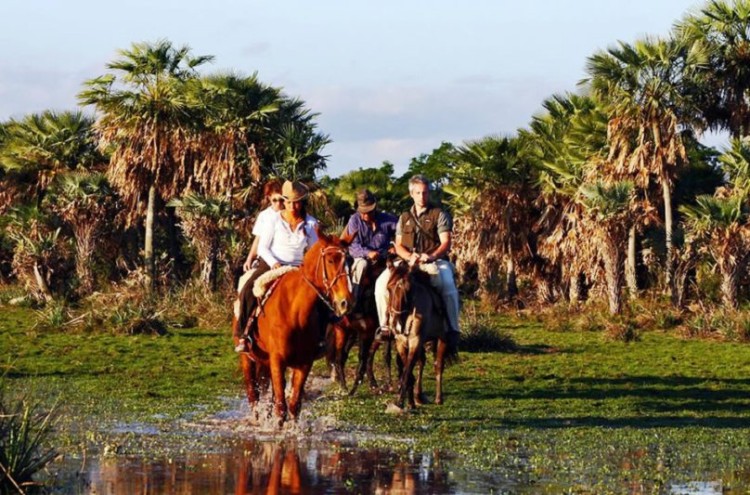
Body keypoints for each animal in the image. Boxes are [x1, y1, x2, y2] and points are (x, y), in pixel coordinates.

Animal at [234, 231, 354, 424]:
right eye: (330, 260)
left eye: (350, 261)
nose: (346, 302)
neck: (294, 310)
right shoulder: (277, 360)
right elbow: (281, 407)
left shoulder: (303, 363)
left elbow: (293, 405)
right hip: (248, 359)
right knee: (253, 395)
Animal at [384, 262, 456, 412]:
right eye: (389, 288)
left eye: (408, 290)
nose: (396, 323)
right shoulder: (401, 343)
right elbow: (408, 371)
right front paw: (410, 402)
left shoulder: (415, 341)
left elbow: (407, 373)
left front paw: (400, 403)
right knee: (422, 362)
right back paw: (418, 396)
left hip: (442, 338)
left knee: (438, 365)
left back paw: (438, 398)